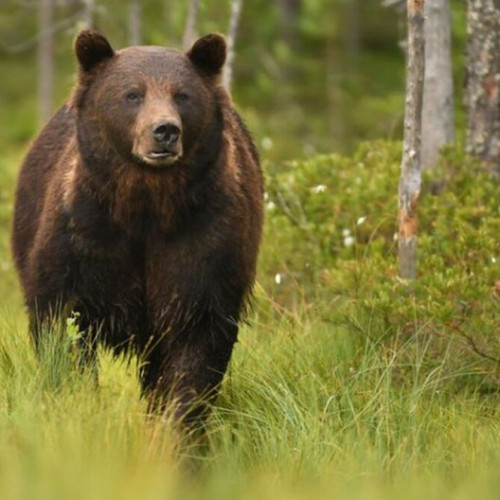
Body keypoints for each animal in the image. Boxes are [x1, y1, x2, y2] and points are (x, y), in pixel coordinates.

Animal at [10, 29, 262, 424]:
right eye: (132, 94)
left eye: (182, 94)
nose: (165, 131)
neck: (146, 206)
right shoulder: (84, 234)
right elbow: (62, 324)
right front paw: (78, 403)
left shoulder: (205, 237)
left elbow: (198, 337)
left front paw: (179, 423)